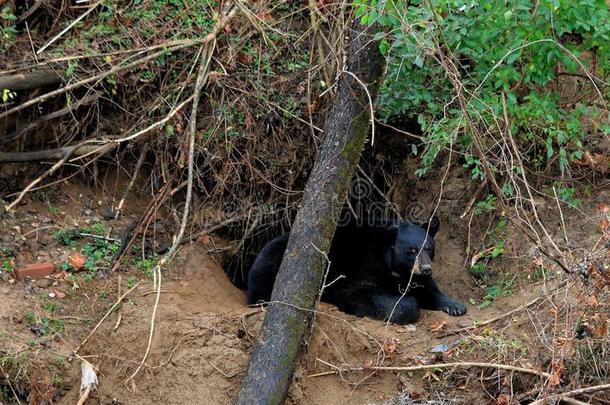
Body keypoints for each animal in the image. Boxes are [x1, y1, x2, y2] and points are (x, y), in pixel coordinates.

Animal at [245, 216, 464, 324]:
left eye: (429, 248)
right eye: (411, 251)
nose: (426, 268)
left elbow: (428, 288)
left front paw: (454, 305)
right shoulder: (357, 265)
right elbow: (359, 293)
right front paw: (407, 303)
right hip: (270, 265)